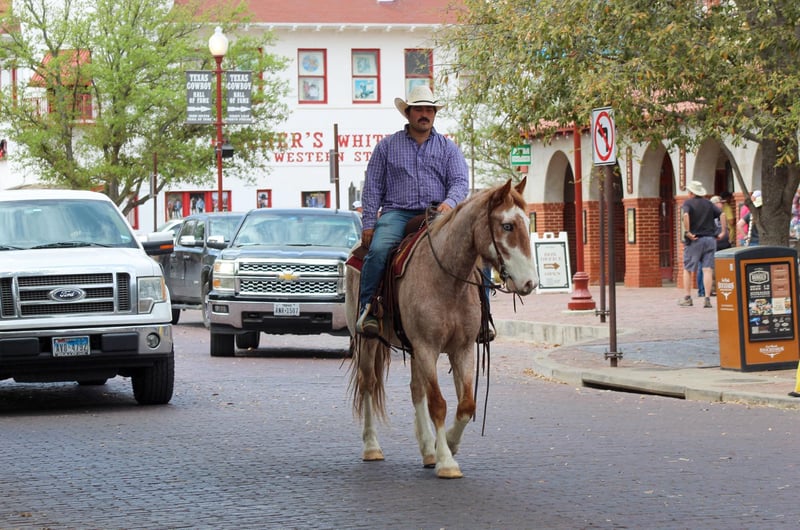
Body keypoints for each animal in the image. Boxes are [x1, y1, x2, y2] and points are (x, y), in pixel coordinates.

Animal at [345, 177, 538, 479]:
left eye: (528, 223)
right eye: (507, 226)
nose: (530, 282)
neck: (448, 280)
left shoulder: (462, 349)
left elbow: (466, 404)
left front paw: (446, 443)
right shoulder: (427, 347)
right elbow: (438, 403)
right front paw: (446, 461)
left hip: (411, 347)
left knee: (416, 389)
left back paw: (427, 449)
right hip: (367, 340)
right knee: (368, 383)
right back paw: (372, 446)